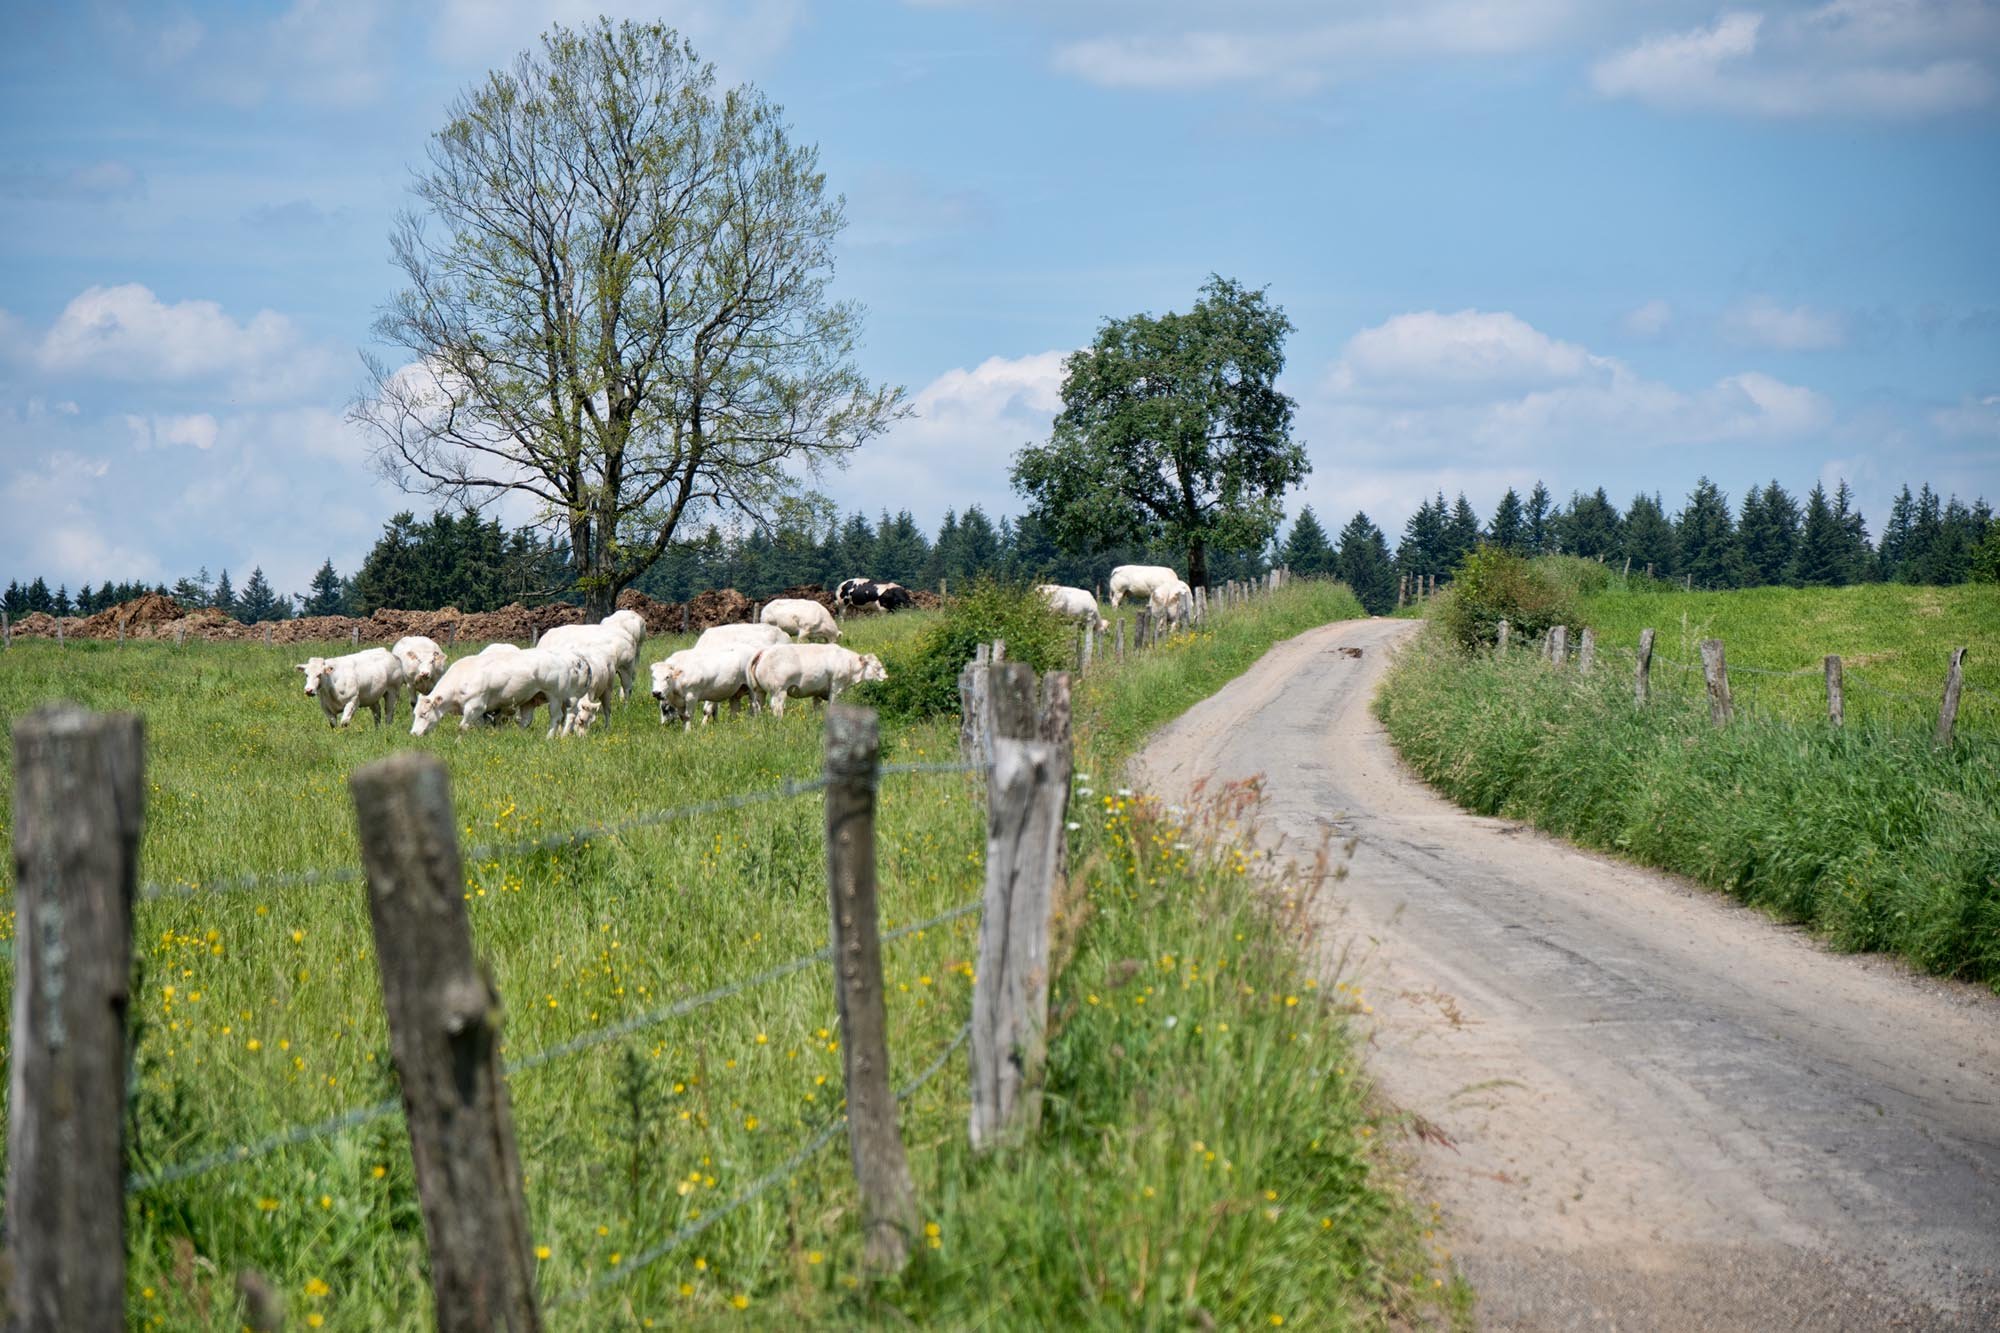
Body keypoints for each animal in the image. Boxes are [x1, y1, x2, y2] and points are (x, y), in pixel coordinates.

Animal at [410, 644, 588, 736]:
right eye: (415, 714)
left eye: (424, 714)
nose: (413, 733)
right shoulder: (479, 711)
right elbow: (481, 725)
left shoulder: (475, 706)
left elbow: (462, 727)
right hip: (530, 699)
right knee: (526, 720)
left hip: (555, 696)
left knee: (557, 717)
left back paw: (549, 737)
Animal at [748, 640, 888, 716]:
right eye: (877, 667)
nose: (886, 677)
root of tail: (764, 651)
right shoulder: (836, 688)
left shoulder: (818, 692)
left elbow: (817, 707)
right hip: (778, 691)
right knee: (776, 708)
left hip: (759, 691)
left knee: (758, 706)